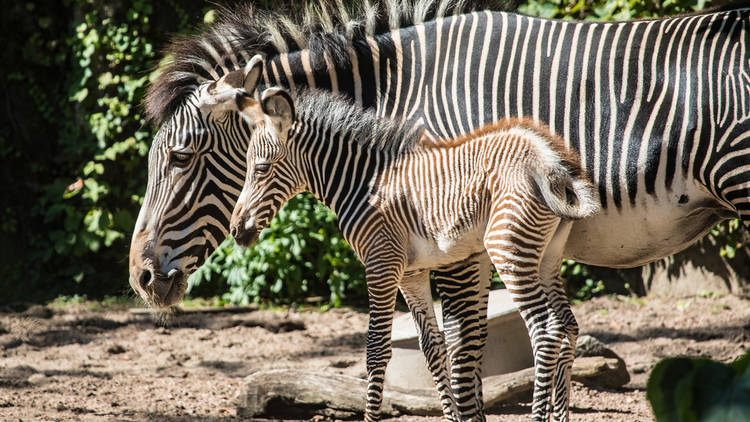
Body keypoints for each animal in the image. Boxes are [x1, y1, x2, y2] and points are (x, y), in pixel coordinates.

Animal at [231, 81, 604, 420]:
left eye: (260, 168)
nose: (236, 230)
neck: (361, 183)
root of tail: (549, 160)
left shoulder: (380, 264)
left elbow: (376, 349)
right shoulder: (411, 273)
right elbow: (432, 347)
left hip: (508, 250)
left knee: (544, 332)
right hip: (546, 256)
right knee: (567, 327)